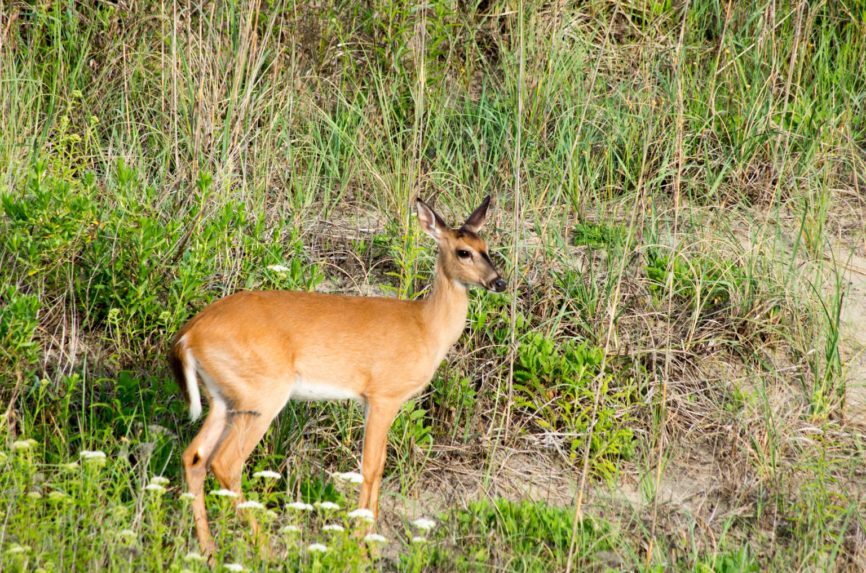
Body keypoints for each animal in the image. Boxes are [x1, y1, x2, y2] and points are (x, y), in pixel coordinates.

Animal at [168, 196, 506, 555]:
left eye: (486, 247)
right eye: (463, 251)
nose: (499, 282)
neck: (425, 327)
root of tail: (188, 335)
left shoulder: (372, 402)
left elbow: (379, 465)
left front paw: (369, 540)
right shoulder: (384, 396)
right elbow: (370, 467)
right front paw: (361, 543)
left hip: (223, 398)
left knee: (194, 457)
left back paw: (209, 550)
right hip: (262, 396)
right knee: (225, 462)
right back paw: (266, 549)